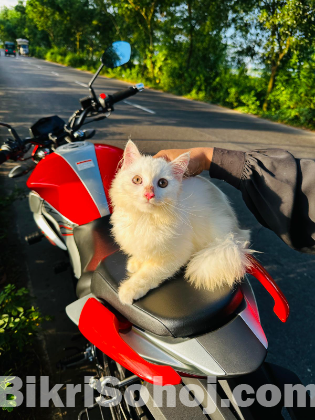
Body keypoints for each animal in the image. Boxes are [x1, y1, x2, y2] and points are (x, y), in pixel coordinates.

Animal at [110, 141, 253, 306]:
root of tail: (235, 234)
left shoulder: (175, 255)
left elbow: (147, 274)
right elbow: (142, 254)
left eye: (162, 183)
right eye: (137, 180)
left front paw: (129, 290)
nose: (149, 194)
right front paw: (135, 262)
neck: (145, 218)